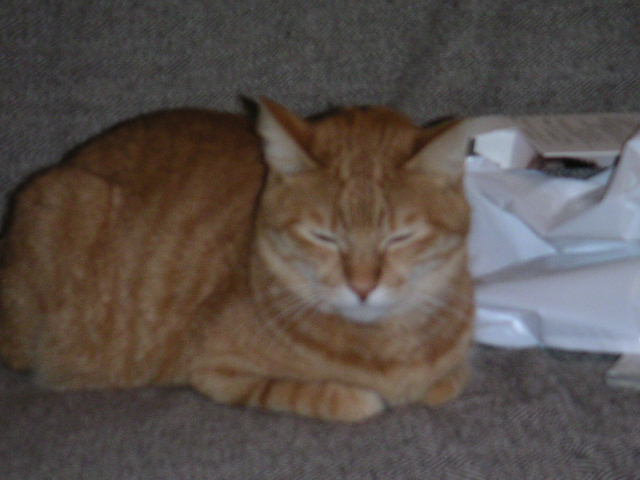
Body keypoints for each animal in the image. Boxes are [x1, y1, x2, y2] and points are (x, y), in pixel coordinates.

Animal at [0, 99, 479, 422]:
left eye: (400, 237)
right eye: (323, 237)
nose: (362, 287)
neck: (389, 344)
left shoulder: (450, 371)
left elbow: (449, 382)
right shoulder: (217, 373)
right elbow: (326, 396)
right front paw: (359, 397)